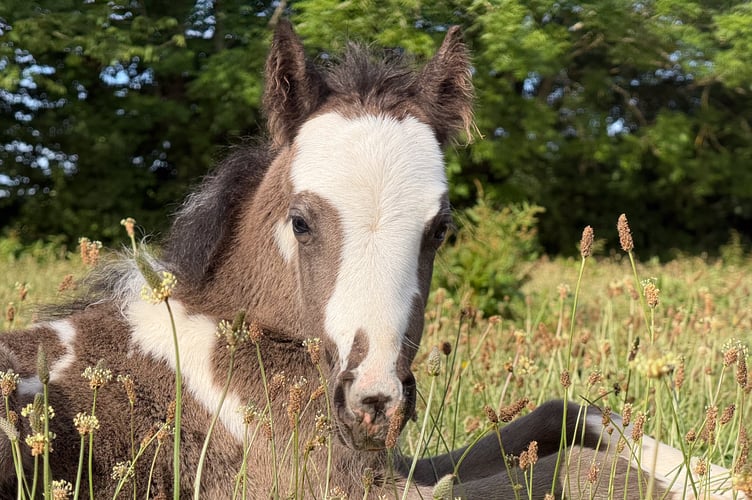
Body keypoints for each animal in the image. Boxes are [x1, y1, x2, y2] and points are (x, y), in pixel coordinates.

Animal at [0, 20, 742, 499]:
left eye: (441, 228)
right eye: (300, 220)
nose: (374, 402)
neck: (223, 342)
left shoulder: (394, 465)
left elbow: (567, 417)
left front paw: (714, 473)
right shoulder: (331, 485)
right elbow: (579, 473)